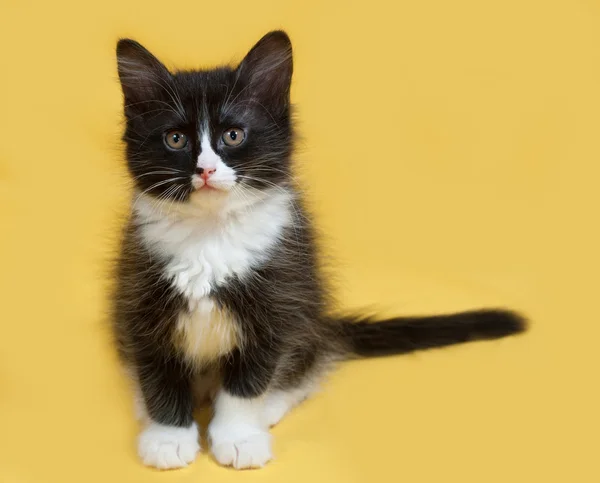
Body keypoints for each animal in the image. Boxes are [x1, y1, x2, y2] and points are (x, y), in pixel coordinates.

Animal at [112, 29, 524, 468]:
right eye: (175, 139)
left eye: (233, 135)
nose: (205, 170)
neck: (211, 234)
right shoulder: (138, 297)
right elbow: (158, 373)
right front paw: (167, 437)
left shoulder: (281, 300)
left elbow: (248, 382)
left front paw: (239, 436)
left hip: (307, 316)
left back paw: (271, 404)